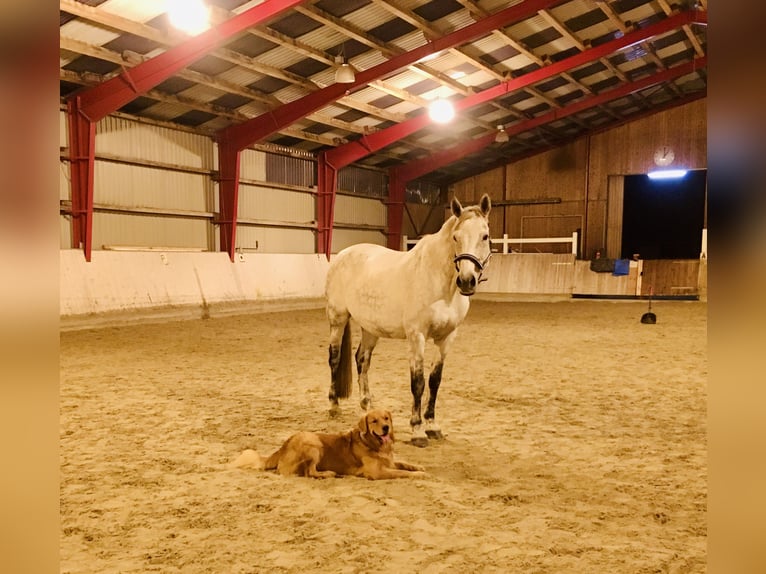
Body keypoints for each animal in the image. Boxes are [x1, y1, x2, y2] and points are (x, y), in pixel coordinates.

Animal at [232, 410, 426, 482]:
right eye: (374, 420)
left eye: (386, 418)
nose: (386, 427)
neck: (372, 443)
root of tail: (284, 444)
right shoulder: (376, 472)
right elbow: (400, 472)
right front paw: (418, 475)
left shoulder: (390, 461)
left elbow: (403, 464)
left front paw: (419, 467)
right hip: (314, 443)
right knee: (309, 472)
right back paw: (329, 473)